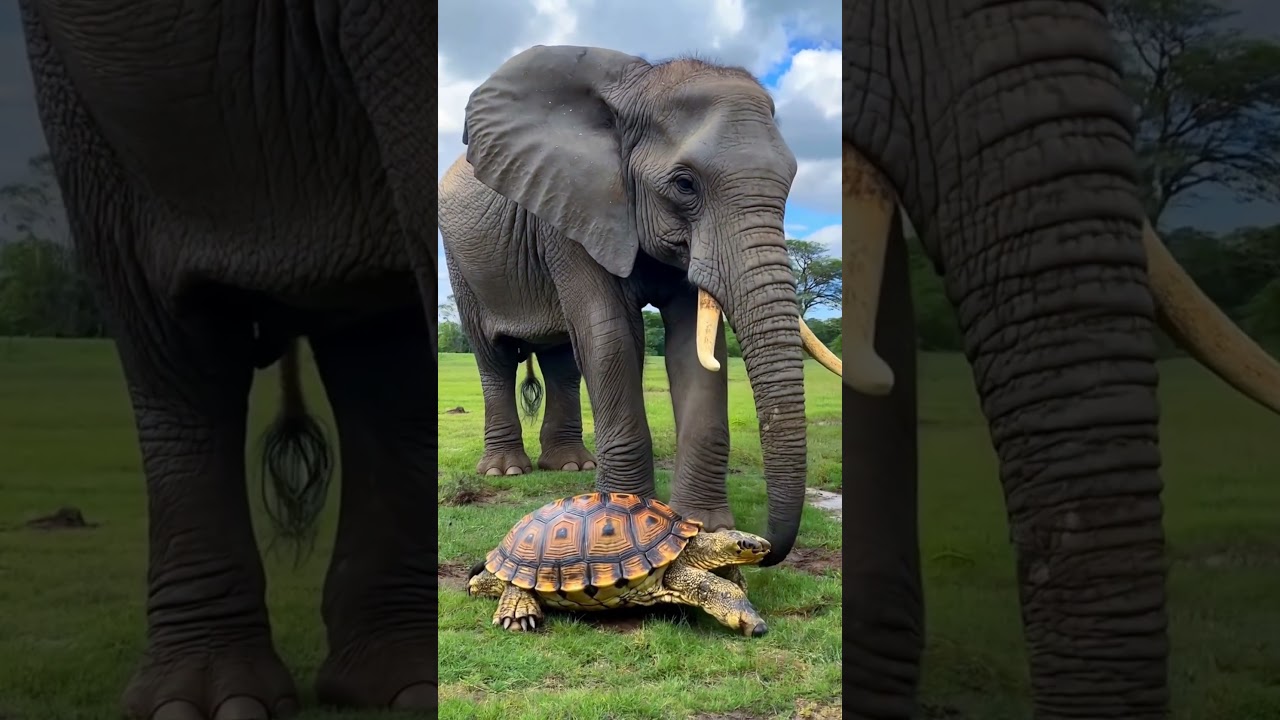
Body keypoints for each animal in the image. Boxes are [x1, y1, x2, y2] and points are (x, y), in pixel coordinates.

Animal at [438, 45, 843, 566]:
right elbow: (608, 333)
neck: (639, 88)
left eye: (791, 180)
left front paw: (707, 526)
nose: (768, 549)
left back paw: (570, 467)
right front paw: (622, 513)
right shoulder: (573, 209)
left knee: (562, 360)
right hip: (464, 265)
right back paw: (505, 472)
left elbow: (694, 344)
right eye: (685, 184)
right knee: (496, 357)